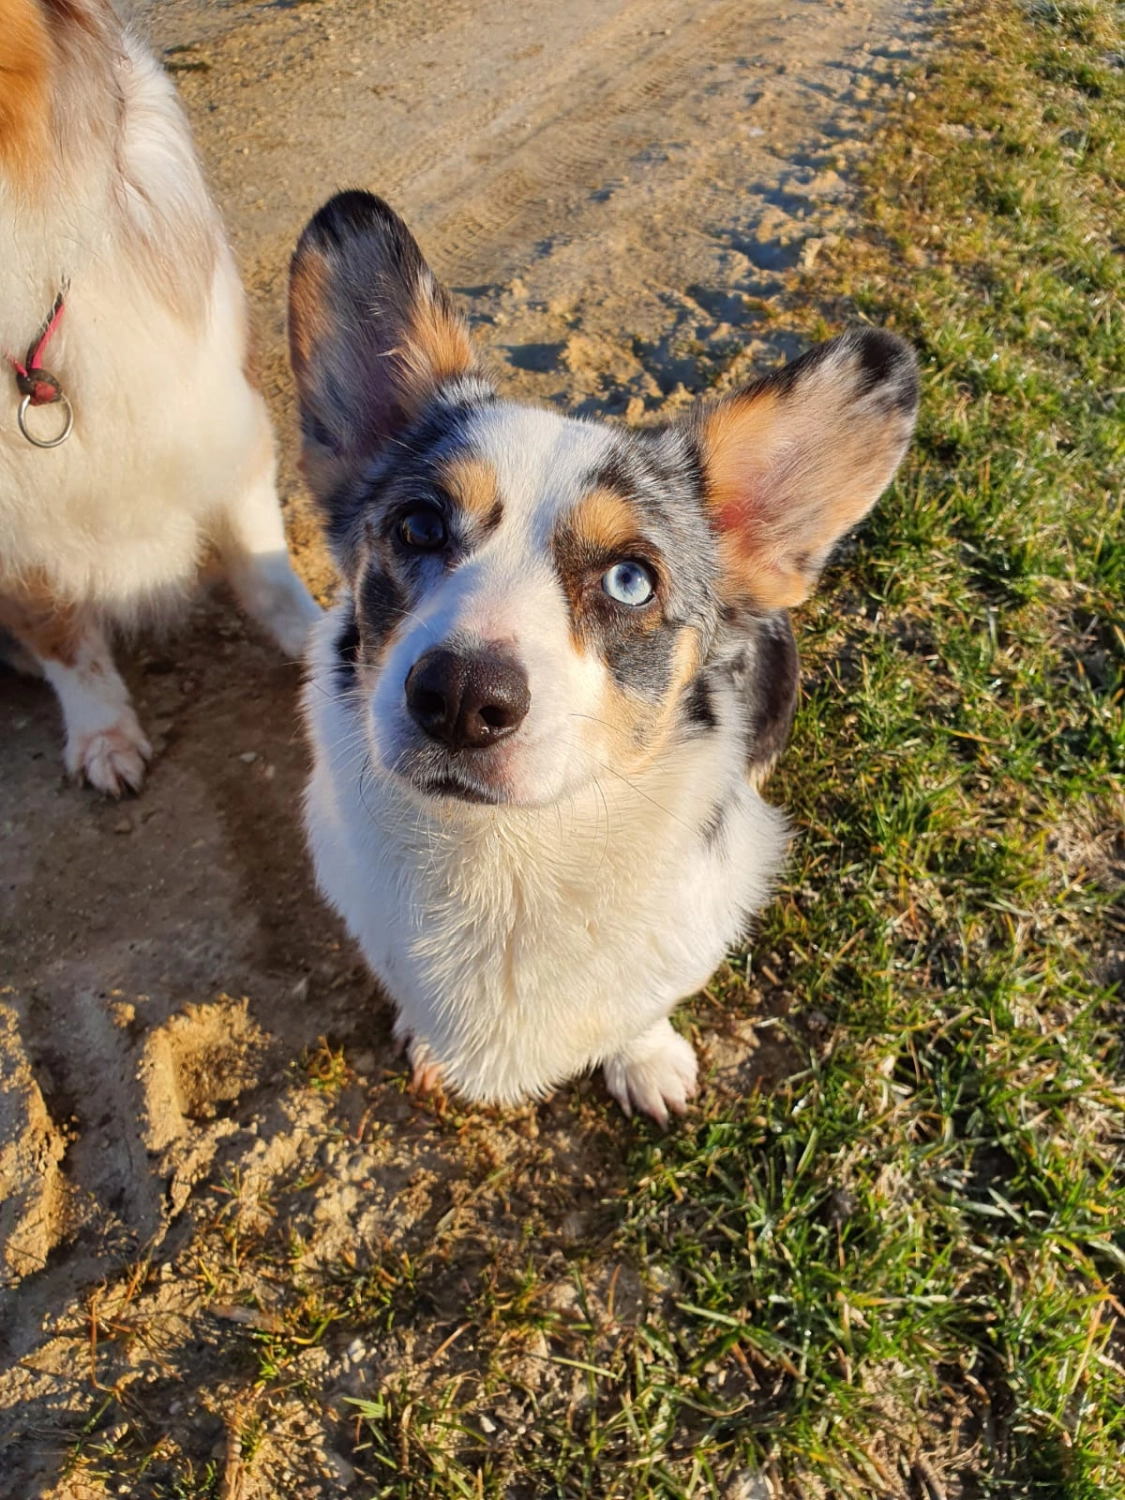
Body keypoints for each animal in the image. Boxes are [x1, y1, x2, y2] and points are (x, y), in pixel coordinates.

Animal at [295, 193, 918, 1122]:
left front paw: (646, 1062)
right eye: (418, 525)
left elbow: (641, 1008)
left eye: (630, 580)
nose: (459, 697)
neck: (505, 852)